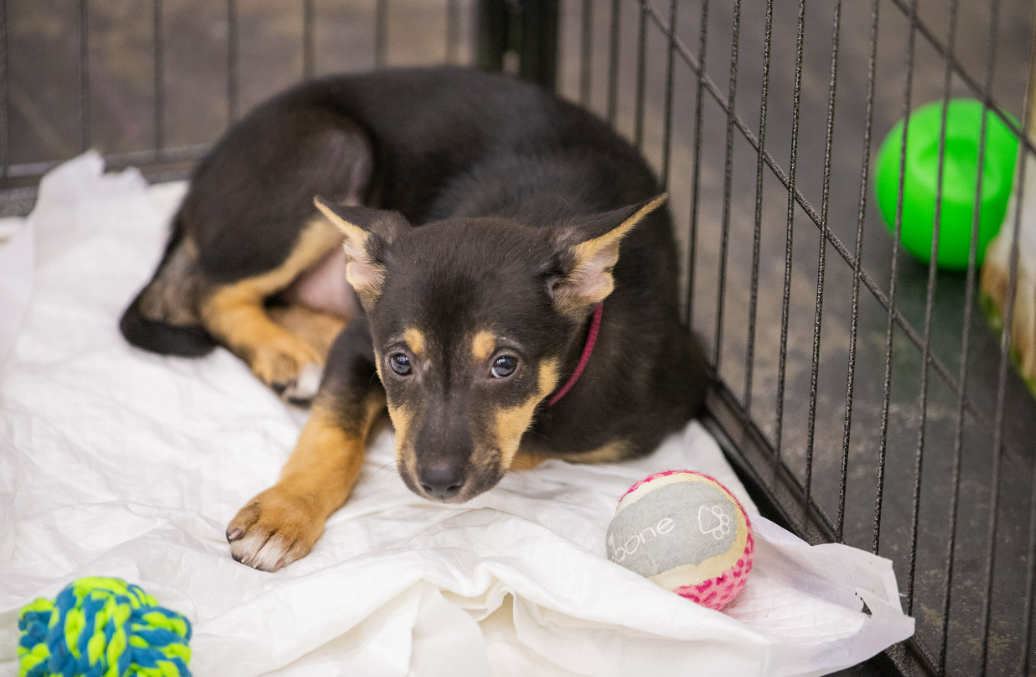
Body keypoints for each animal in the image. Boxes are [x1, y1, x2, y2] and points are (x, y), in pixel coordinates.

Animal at [117, 66, 708, 572]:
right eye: (400, 362)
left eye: (505, 366)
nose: (438, 482)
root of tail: (197, 178)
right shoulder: (364, 342)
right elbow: (331, 434)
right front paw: (283, 514)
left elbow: (521, 451)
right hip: (334, 150)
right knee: (202, 294)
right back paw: (285, 354)